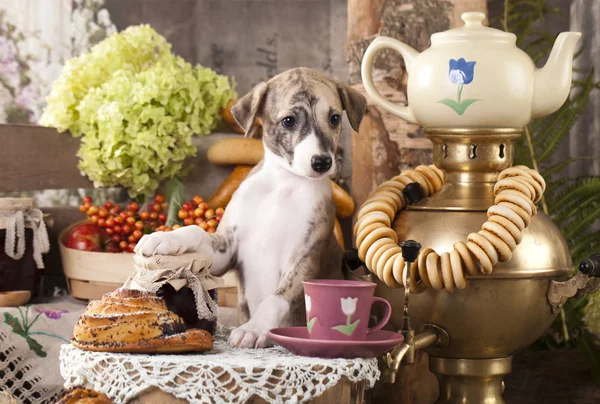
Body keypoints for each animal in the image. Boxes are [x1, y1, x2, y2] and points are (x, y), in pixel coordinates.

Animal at [137, 68, 368, 348]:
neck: (284, 183)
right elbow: (196, 231)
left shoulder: (305, 259)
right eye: (288, 121)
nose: (322, 162)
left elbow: (276, 299)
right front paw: (163, 238)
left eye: (334, 118)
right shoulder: (228, 249)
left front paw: (254, 328)